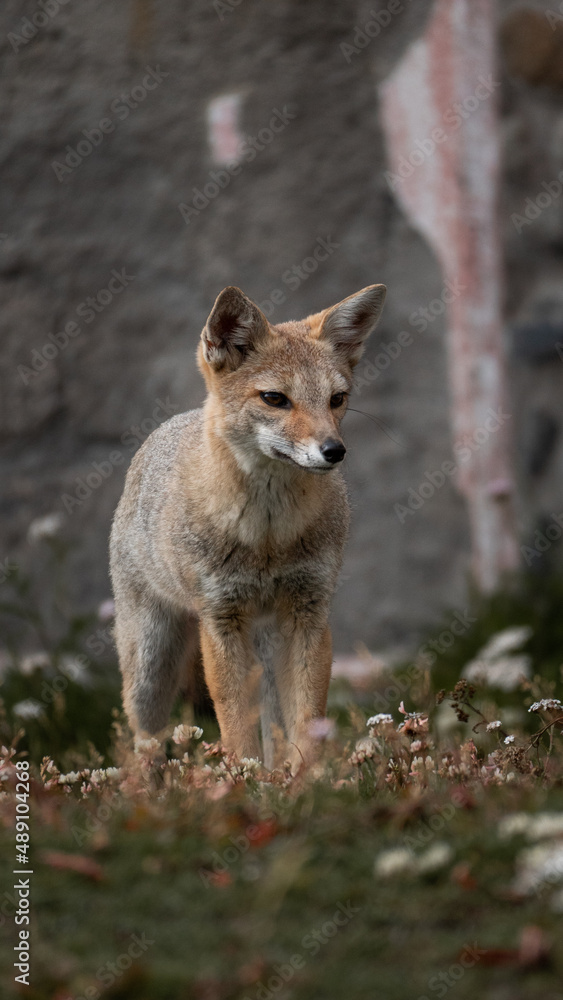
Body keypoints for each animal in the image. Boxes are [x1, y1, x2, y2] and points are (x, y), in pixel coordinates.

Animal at [110, 282, 386, 771]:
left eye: (336, 399)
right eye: (275, 399)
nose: (334, 451)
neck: (267, 538)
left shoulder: (310, 612)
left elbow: (307, 721)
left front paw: (304, 781)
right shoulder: (220, 618)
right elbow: (236, 727)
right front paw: (245, 780)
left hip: (268, 653)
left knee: (274, 727)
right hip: (150, 666)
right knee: (144, 745)